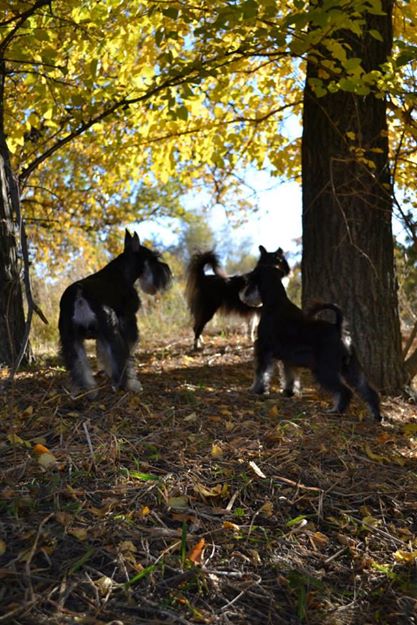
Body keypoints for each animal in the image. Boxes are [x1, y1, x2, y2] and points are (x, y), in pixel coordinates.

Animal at [57, 230, 171, 400]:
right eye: (153, 258)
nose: (168, 272)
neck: (122, 272)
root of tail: (80, 295)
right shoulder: (128, 321)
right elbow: (128, 353)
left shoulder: (100, 336)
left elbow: (103, 354)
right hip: (112, 330)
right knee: (120, 359)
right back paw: (127, 386)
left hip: (71, 339)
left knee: (78, 366)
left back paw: (89, 390)